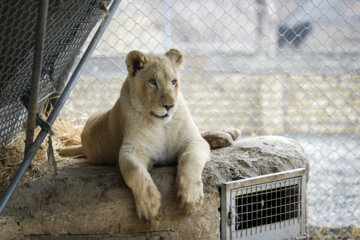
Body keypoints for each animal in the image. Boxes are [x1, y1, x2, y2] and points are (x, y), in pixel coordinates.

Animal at [59, 48, 214, 225]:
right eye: (152, 82)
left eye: (174, 82)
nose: (169, 106)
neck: (162, 126)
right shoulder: (132, 150)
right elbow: (135, 172)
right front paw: (150, 207)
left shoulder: (194, 140)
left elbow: (190, 158)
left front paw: (190, 197)